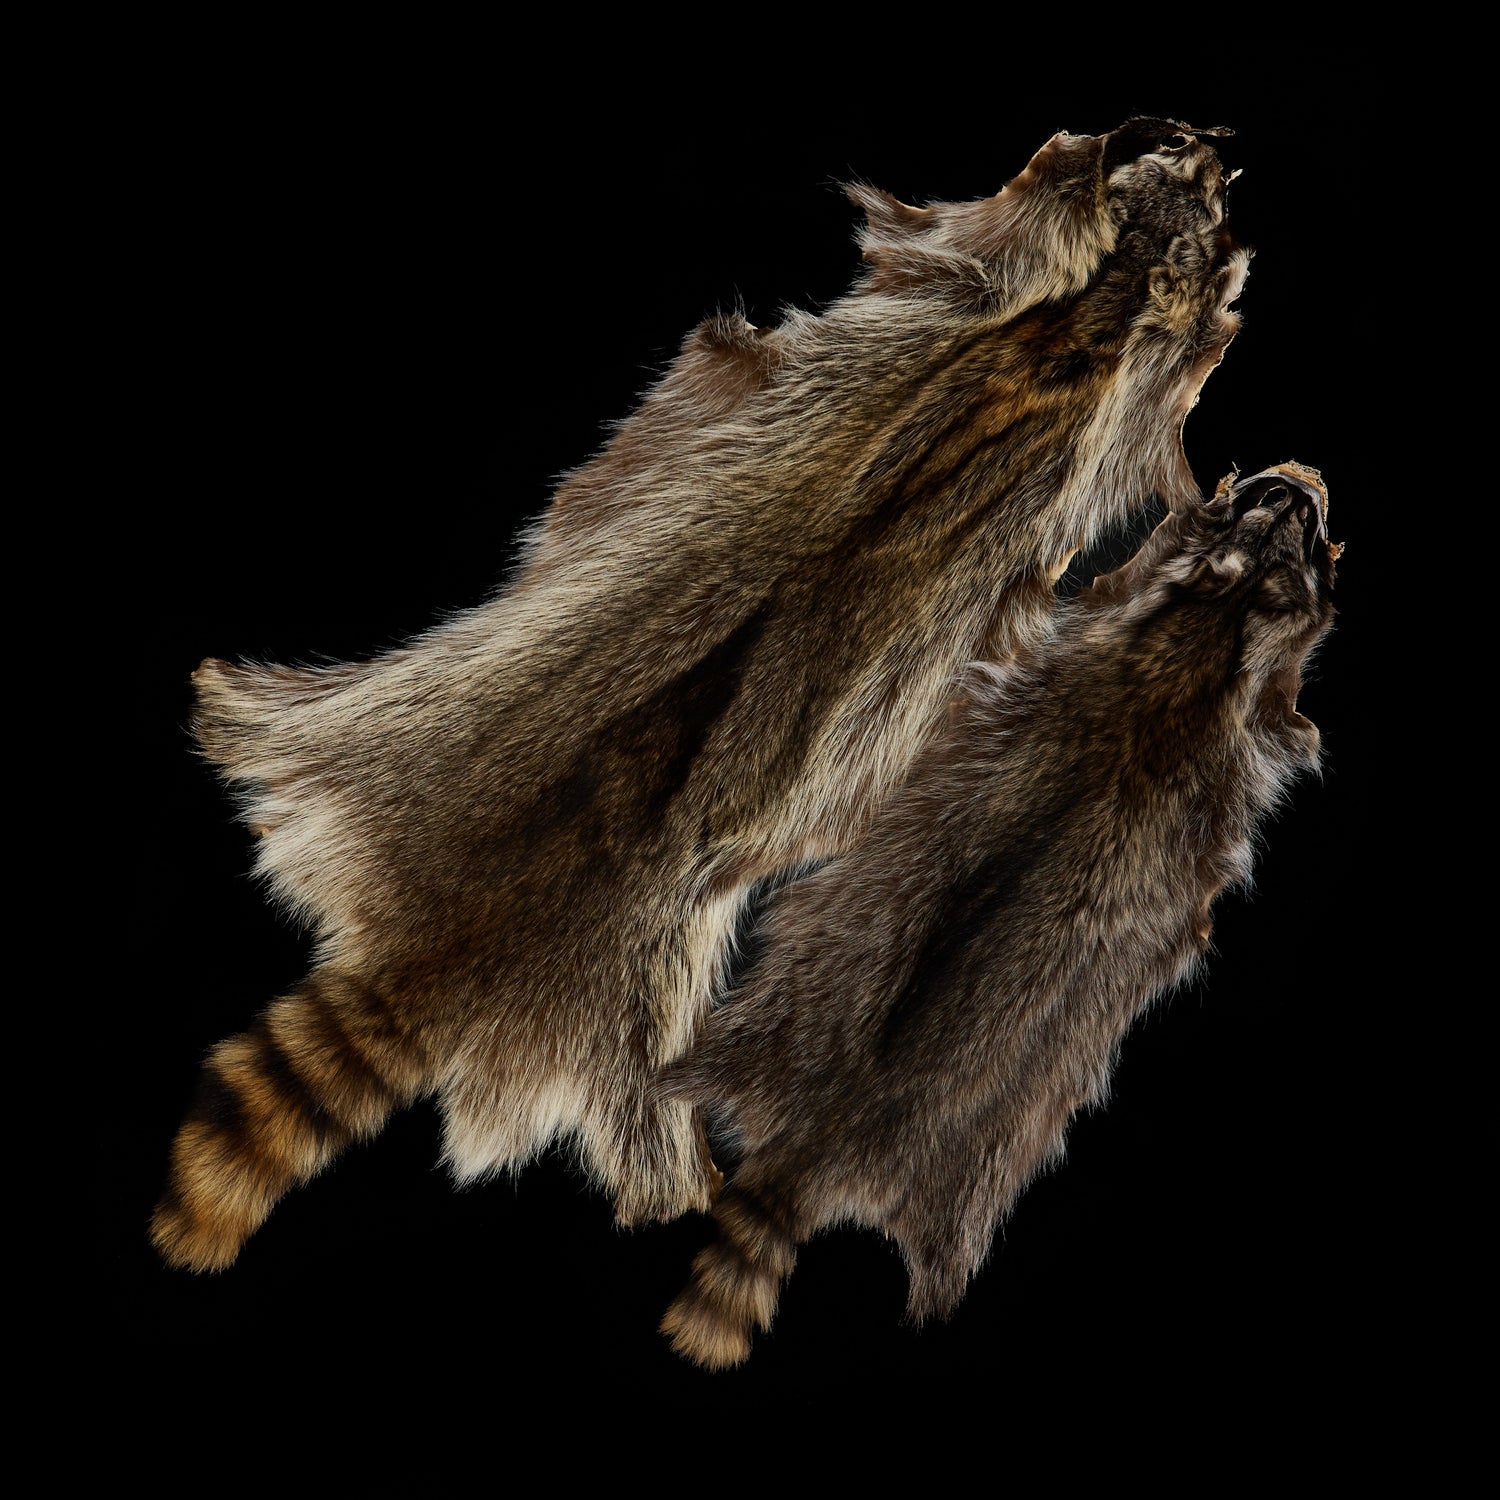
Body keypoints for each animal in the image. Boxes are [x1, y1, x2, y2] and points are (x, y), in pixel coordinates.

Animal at [661, 464, 1340, 1368]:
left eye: (1299, 530)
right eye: (1276, 512)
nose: (1300, 481)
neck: (1203, 638)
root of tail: (816, 1143)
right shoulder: (1152, 668)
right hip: (968, 1147)